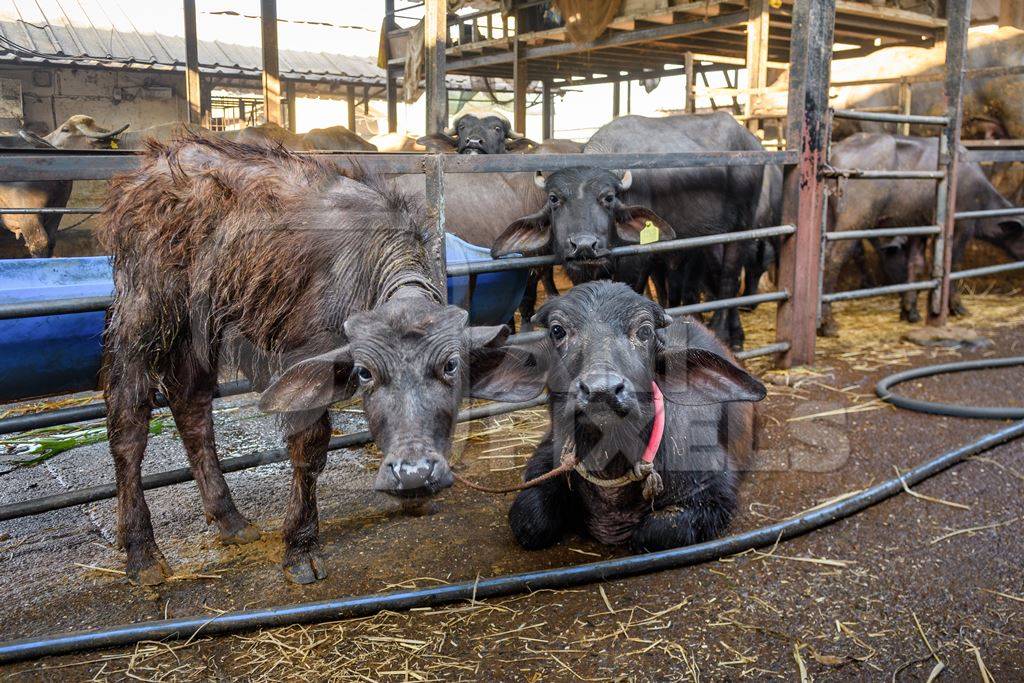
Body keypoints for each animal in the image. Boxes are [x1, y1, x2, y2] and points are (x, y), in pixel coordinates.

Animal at [491, 113, 765, 352]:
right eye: (554, 198)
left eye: (609, 198)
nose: (584, 246)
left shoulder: (637, 263)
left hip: (741, 228)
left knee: (729, 279)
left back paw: (727, 335)